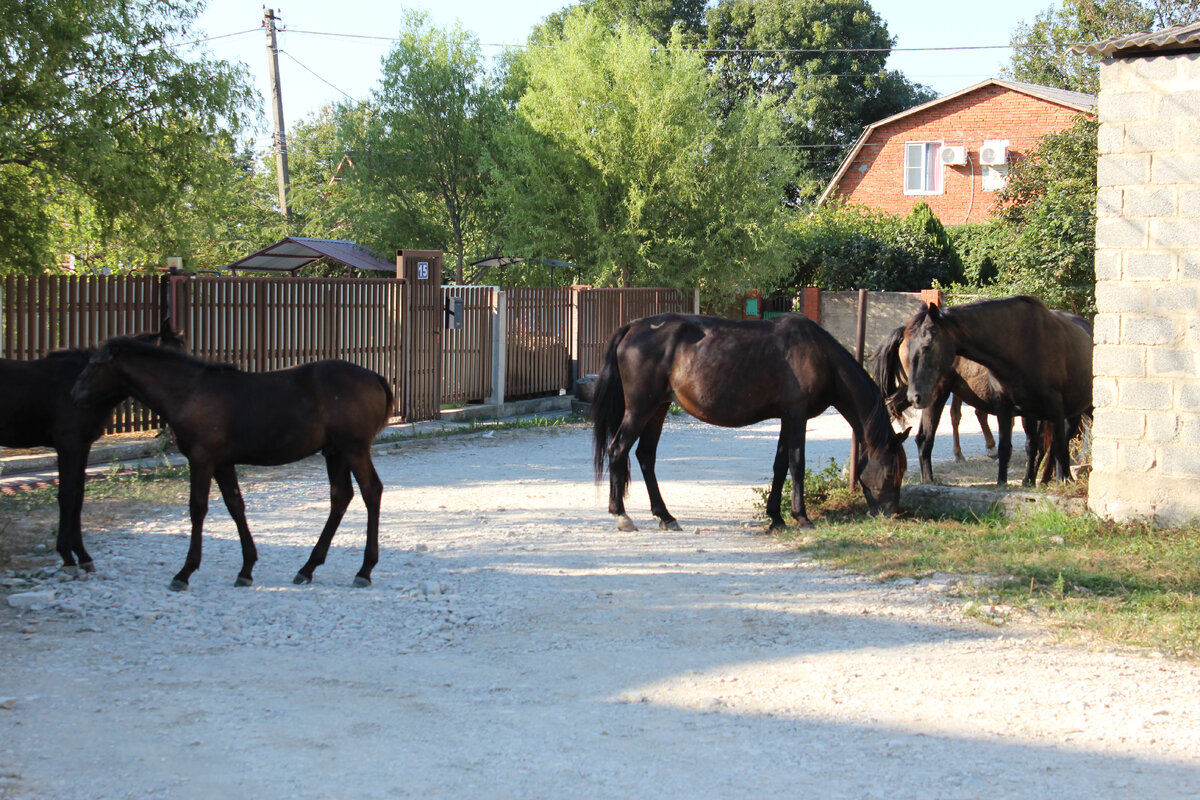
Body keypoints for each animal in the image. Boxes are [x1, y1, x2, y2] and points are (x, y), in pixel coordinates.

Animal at [0, 319, 184, 575]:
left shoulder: (83, 446)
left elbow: (78, 497)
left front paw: (82, 556)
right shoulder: (69, 446)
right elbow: (67, 495)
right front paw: (67, 558)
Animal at [70, 340, 393, 592]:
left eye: (95, 365)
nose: (75, 396)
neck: (189, 392)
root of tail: (374, 377)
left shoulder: (201, 458)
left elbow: (198, 508)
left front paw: (184, 573)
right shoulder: (222, 463)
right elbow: (235, 505)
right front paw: (246, 569)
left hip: (354, 449)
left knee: (371, 492)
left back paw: (364, 570)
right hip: (335, 452)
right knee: (341, 497)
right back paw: (308, 567)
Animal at [590, 311, 907, 532]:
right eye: (891, 471)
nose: (890, 514)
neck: (820, 355)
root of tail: (632, 327)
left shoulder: (786, 417)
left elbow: (780, 465)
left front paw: (776, 517)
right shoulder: (797, 415)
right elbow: (797, 463)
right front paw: (802, 517)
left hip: (658, 408)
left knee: (645, 456)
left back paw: (666, 516)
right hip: (640, 409)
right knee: (618, 450)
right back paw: (622, 515)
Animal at [902, 298, 1094, 484]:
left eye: (927, 346)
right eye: (909, 347)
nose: (914, 396)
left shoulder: (1052, 407)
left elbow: (1055, 445)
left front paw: (1059, 479)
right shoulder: (1008, 405)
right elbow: (1010, 446)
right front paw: (1004, 481)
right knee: (927, 437)